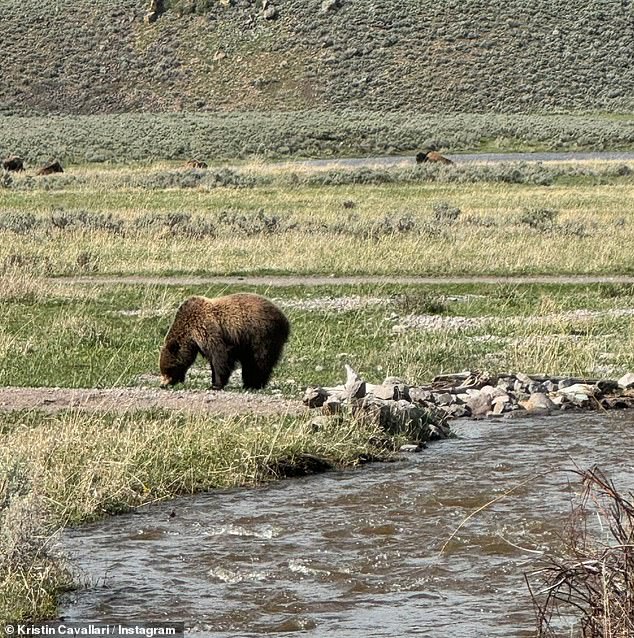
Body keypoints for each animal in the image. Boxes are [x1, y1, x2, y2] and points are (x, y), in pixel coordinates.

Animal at [158, 294, 288, 390]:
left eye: (168, 369)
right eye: (163, 370)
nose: (163, 385)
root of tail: (284, 319)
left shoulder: (208, 330)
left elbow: (220, 357)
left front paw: (216, 385)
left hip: (261, 334)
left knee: (259, 360)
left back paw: (254, 383)